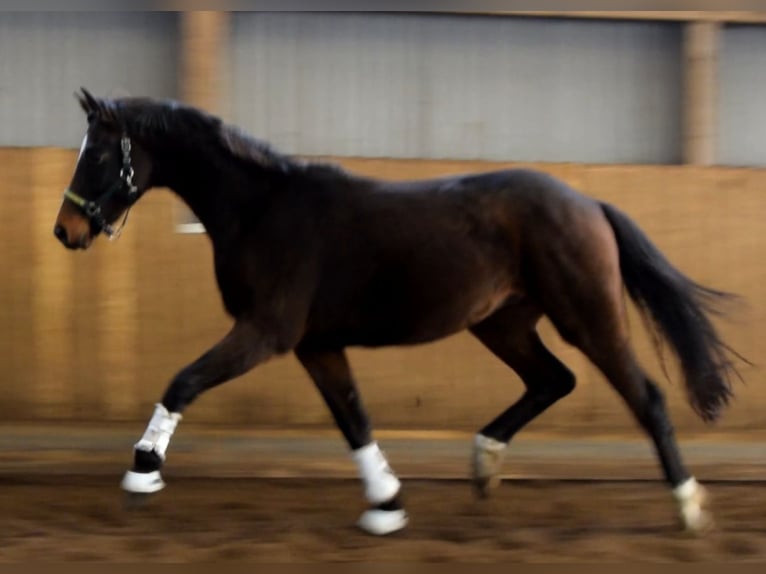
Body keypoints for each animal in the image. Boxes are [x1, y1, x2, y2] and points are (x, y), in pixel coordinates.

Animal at [51, 86, 748, 540]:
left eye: (100, 153)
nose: (65, 230)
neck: (262, 210)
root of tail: (588, 202)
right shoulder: (315, 344)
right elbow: (353, 418)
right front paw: (386, 504)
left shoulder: (266, 332)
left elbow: (184, 381)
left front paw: (144, 470)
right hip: (502, 322)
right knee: (554, 379)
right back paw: (484, 464)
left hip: (588, 316)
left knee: (645, 396)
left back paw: (689, 505)